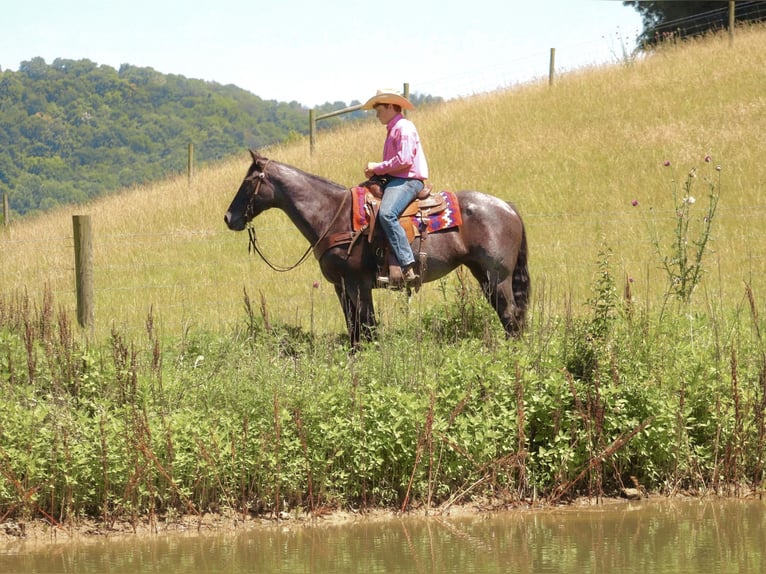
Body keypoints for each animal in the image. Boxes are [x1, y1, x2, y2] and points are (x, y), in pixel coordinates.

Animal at [225, 151, 532, 348]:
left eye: (248, 182)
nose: (229, 218)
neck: (332, 215)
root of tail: (507, 207)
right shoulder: (341, 286)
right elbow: (354, 329)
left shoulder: (357, 284)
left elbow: (367, 326)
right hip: (483, 275)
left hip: (498, 276)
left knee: (510, 316)